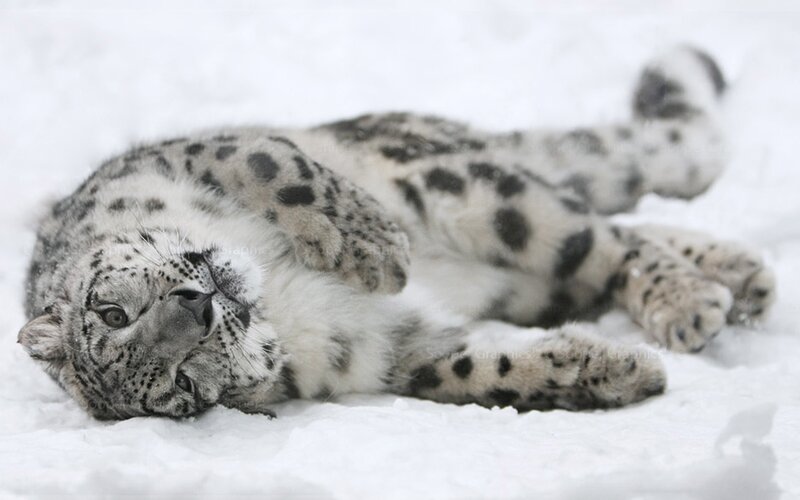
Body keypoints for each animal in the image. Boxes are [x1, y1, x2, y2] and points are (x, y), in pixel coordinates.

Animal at [18, 46, 775, 420]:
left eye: (110, 311)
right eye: (181, 386)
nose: (199, 305)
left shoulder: (188, 154)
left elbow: (275, 165)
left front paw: (368, 246)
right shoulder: (391, 349)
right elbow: (478, 370)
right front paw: (604, 370)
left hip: (466, 188)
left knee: (604, 233)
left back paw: (691, 298)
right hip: (531, 281)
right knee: (607, 238)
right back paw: (735, 280)